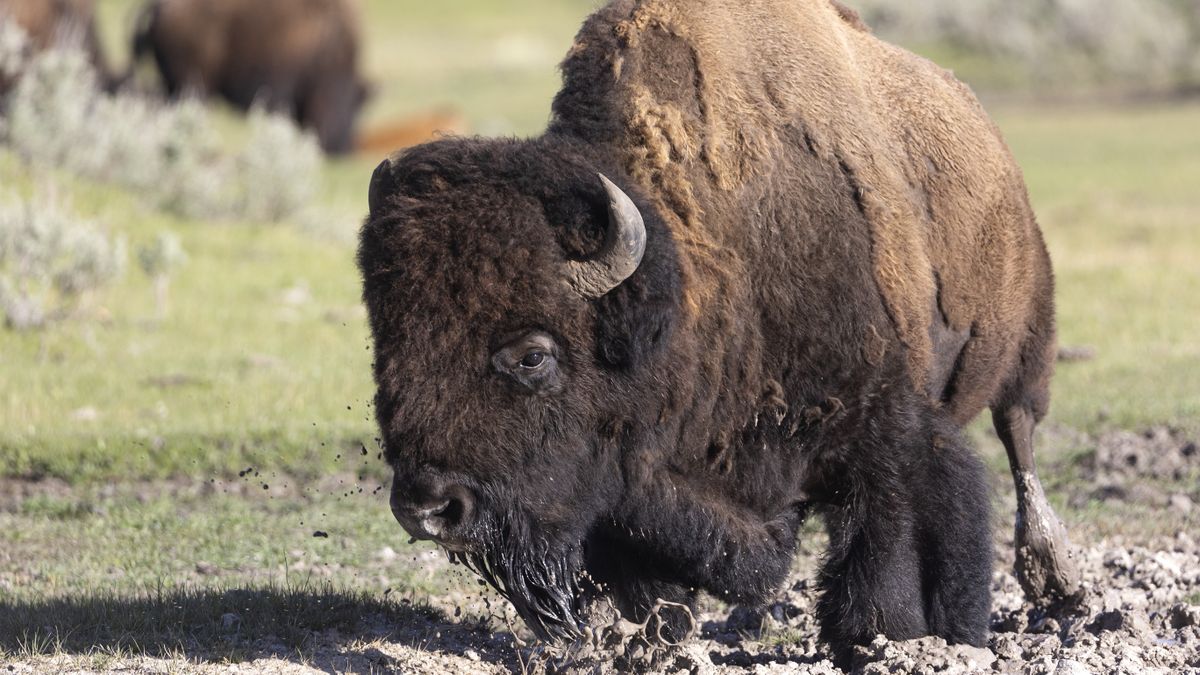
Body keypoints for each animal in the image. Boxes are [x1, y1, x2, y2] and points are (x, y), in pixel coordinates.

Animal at [355, 0, 1080, 662]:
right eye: (387, 347)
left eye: (533, 355)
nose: (430, 508)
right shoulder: (630, 486)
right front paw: (651, 645)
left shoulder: (885, 426)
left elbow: (902, 537)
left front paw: (895, 638)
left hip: (1026, 344)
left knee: (1020, 437)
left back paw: (1058, 578)